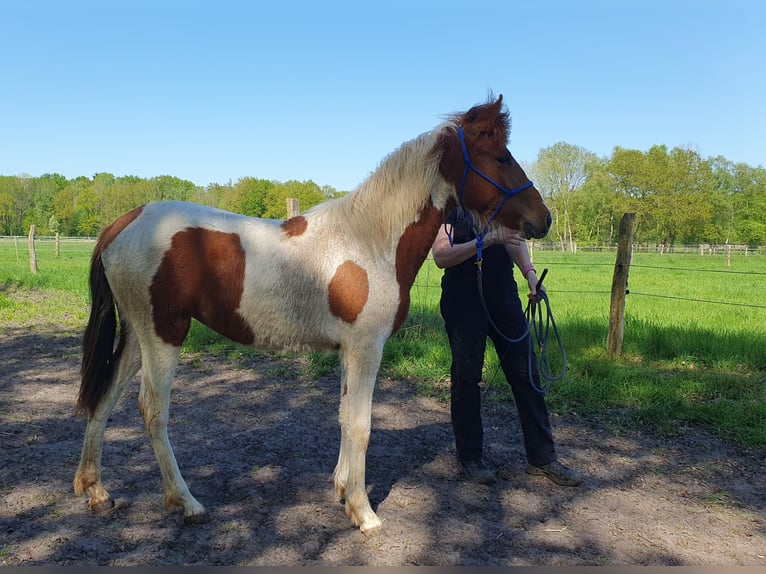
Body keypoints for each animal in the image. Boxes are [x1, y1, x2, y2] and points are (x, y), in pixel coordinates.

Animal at [73, 93, 552, 536]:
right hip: (164, 334)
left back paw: (95, 490)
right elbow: (360, 425)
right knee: (152, 409)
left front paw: (341, 489)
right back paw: (186, 502)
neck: (370, 241)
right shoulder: (366, 348)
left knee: (106, 397)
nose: (543, 219)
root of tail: (122, 224)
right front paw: (363, 512)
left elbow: (343, 417)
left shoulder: (349, 350)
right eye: (501, 156)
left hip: (137, 335)